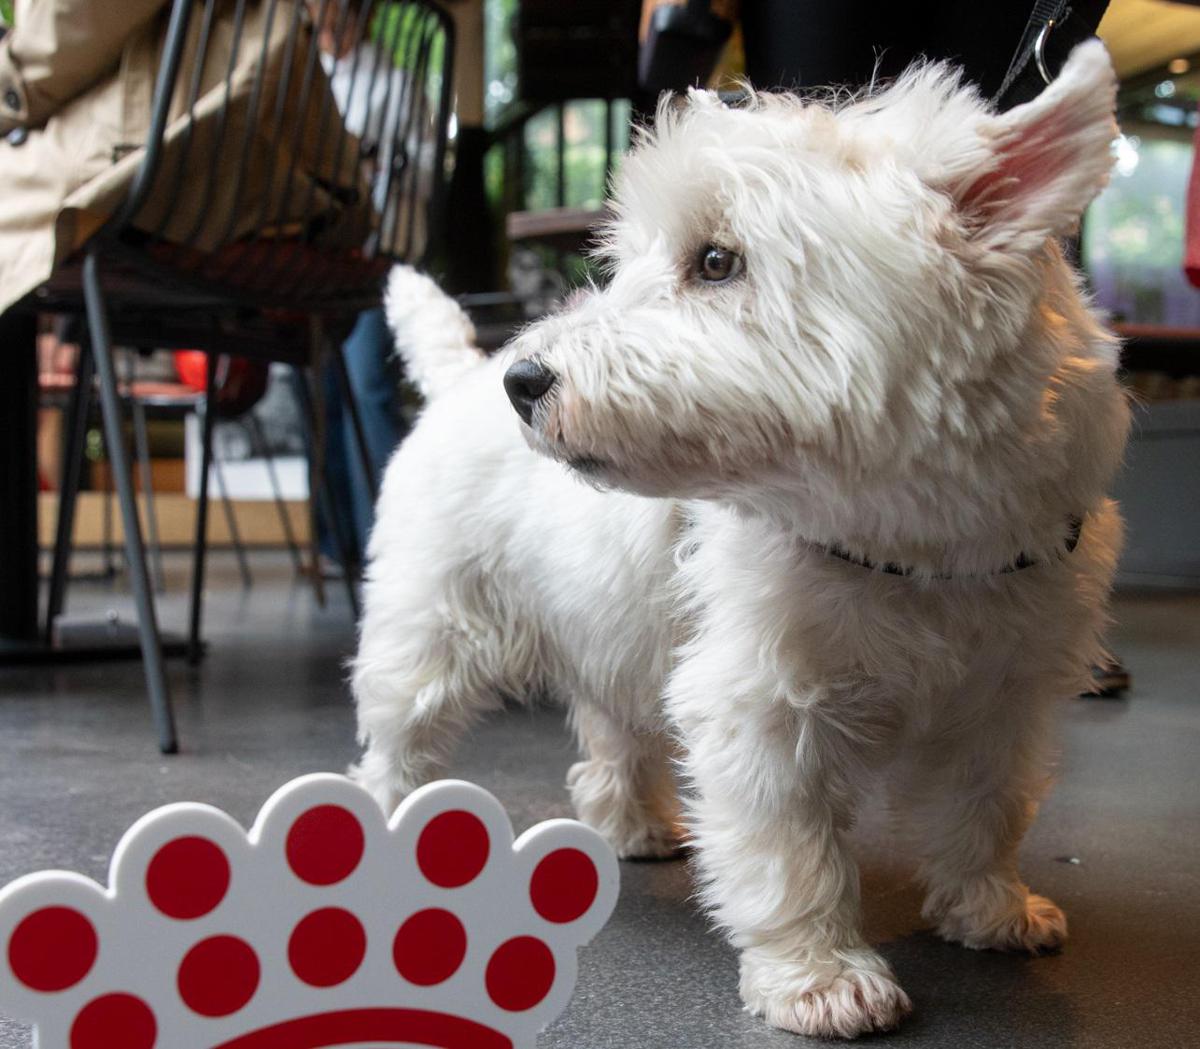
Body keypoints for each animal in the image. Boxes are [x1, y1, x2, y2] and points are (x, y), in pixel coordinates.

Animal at [350, 42, 1128, 1036]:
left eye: (716, 260)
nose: (525, 381)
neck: (925, 542)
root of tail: (460, 379)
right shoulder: (764, 702)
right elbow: (791, 850)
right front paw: (822, 978)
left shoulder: (1008, 691)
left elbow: (988, 808)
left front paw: (992, 910)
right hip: (433, 626)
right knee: (398, 743)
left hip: (616, 627)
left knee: (611, 732)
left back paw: (634, 824)